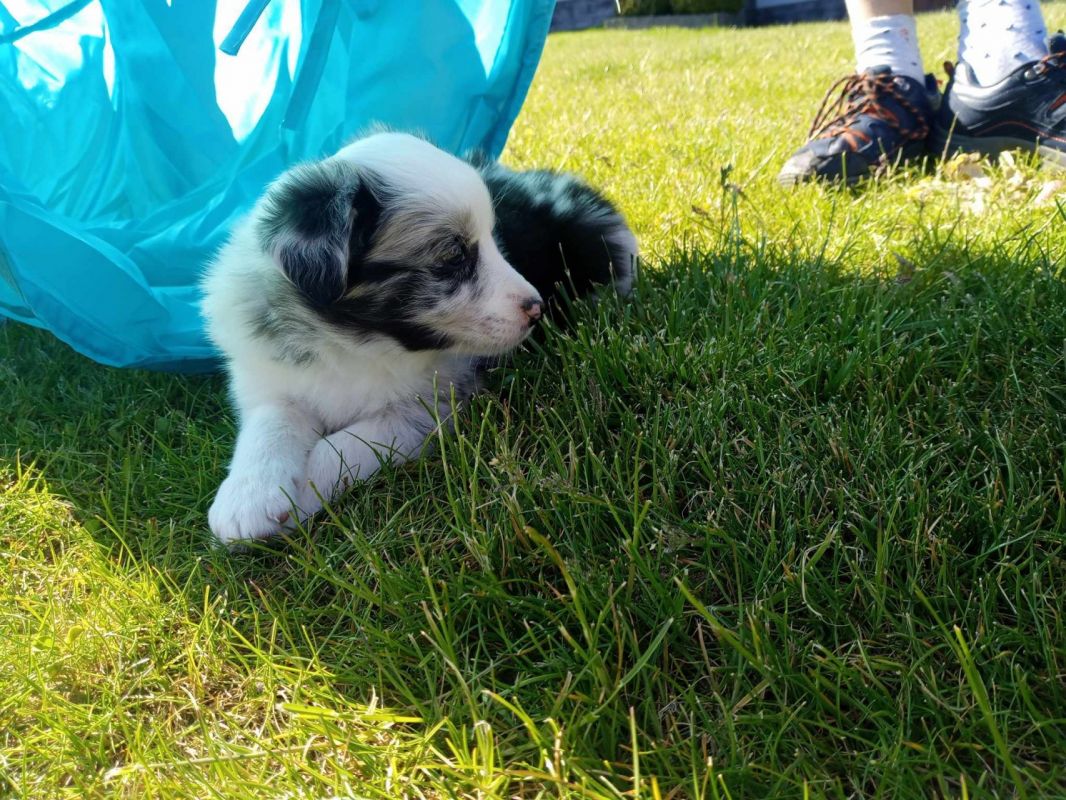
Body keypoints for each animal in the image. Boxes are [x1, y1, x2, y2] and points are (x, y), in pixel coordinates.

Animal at [201, 132, 636, 544]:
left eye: (495, 241)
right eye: (453, 257)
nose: (536, 308)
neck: (357, 344)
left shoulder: (430, 407)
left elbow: (346, 444)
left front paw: (303, 497)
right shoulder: (273, 379)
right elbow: (271, 424)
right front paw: (247, 500)